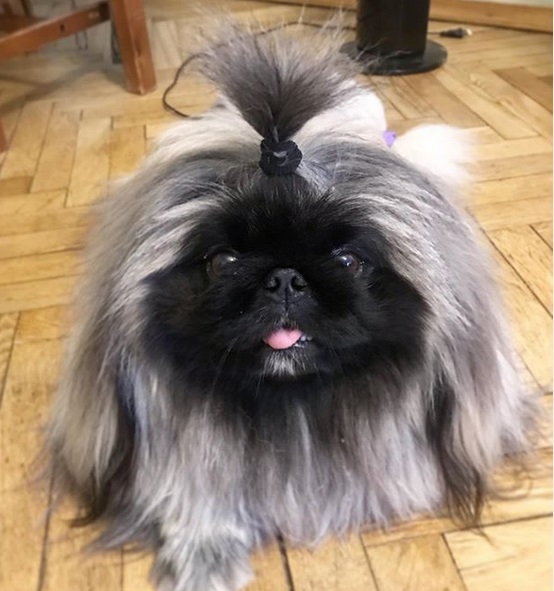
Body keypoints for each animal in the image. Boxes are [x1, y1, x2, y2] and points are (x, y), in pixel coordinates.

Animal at [45, 24, 536, 591]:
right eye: (223, 261)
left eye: (347, 261)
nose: (284, 278)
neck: (291, 407)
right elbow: (191, 485)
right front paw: (203, 554)